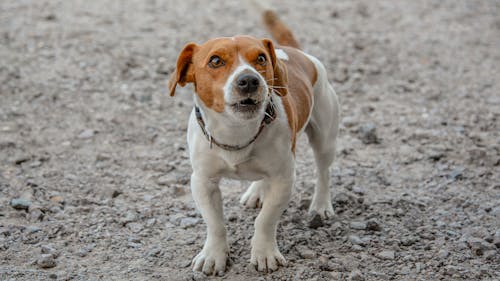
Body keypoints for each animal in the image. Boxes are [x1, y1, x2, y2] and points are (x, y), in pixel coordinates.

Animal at [168, 1, 340, 274]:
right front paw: (214, 255)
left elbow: (266, 220)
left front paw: (264, 253)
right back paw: (257, 191)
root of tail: (296, 52)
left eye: (260, 58)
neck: (237, 130)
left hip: (324, 138)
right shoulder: (203, 182)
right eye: (215, 60)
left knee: (323, 172)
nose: (249, 79)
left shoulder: (283, 179)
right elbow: (215, 224)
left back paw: (321, 206)